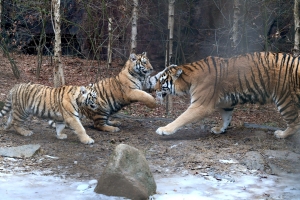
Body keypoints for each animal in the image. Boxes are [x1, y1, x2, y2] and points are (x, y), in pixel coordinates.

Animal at [152, 52, 300, 139]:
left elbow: (181, 118)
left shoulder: (200, 105)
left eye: (162, 81)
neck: (189, 78)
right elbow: (226, 118)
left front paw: (164, 129)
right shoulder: (227, 103)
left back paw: (281, 134)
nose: (153, 89)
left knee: (295, 123)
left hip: (285, 99)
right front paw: (219, 129)